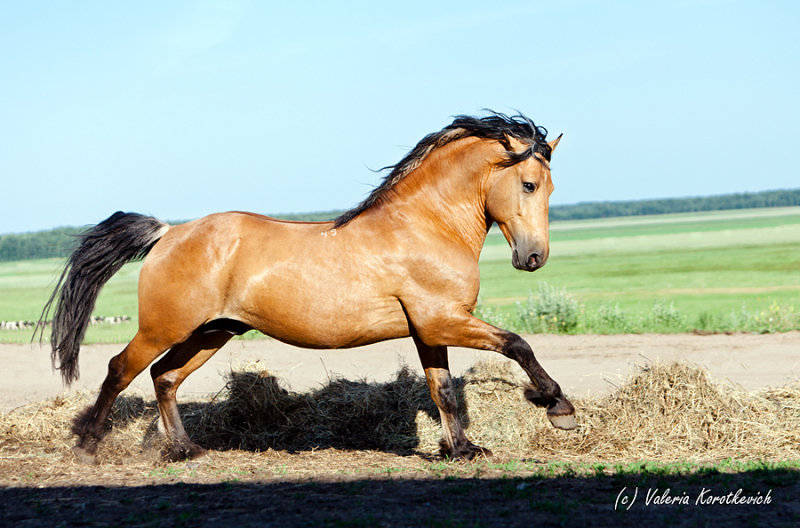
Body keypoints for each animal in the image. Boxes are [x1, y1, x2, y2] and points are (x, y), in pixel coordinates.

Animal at [39, 110, 576, 462]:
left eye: (551, 187)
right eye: (529, 185)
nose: (533, 258)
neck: (425, 225)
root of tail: (169, 233)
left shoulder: (431, 329)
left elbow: (442, 389)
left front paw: (462, 448)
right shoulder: (444, 320)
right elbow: (518, 344)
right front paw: (557, 405)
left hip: (212, 331)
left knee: (165, 377)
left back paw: (186, 449)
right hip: (164, 327)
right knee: (121, 369)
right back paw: (87, 445)